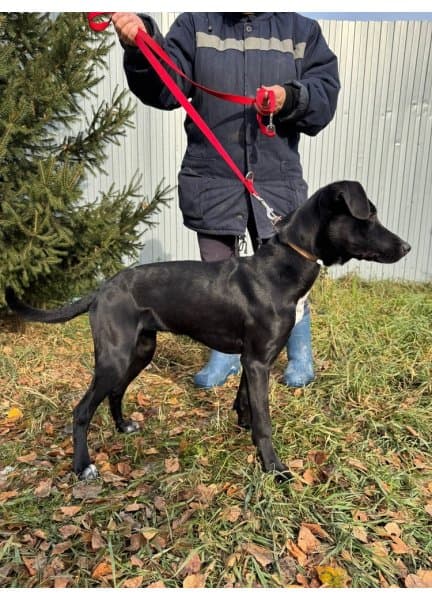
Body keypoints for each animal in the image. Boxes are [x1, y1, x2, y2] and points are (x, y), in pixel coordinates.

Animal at [6, 181, 411, 481]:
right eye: (369, 215)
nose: (407, 246)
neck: (283, 268)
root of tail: (101, 289)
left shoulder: (254, 359)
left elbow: (246, 401)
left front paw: (243, 427)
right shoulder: (258, 360)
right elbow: (265, 421)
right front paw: (274, 468)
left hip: (140, 350)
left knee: (115, 393)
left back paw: (123, 427)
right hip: (114, 357)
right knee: (81, 410)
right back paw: (83, 466)